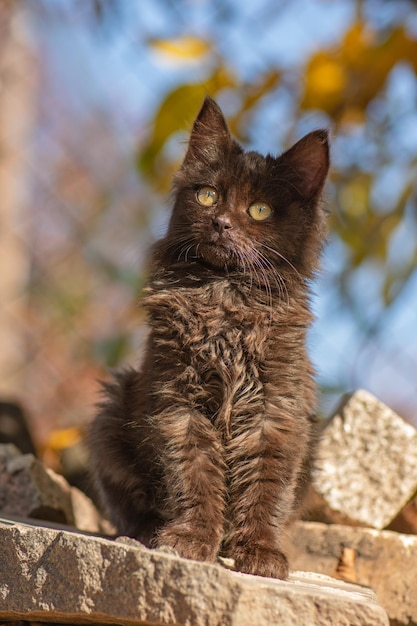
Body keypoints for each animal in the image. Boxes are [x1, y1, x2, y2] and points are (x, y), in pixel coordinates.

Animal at [88, 95, 328, 576]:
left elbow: (266, 487)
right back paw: (146, 532)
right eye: (207, 195)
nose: (220, 223)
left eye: (259, 210)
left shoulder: (276, 412)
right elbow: (192, 475)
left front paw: (259, 551)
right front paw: (190, 539)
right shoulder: (179, 404)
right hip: (110, 414)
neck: (224, 299)